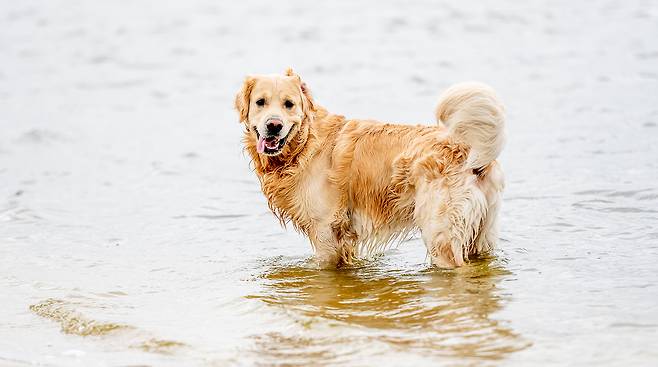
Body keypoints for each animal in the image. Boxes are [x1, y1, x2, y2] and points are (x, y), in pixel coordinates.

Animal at [233, 69, 504, 268]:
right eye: (260, 102)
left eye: (288, 104)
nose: (274, 125)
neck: (307, 143)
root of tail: (468, 149)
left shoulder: (325, 230)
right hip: (482, 234)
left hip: (441, 234)